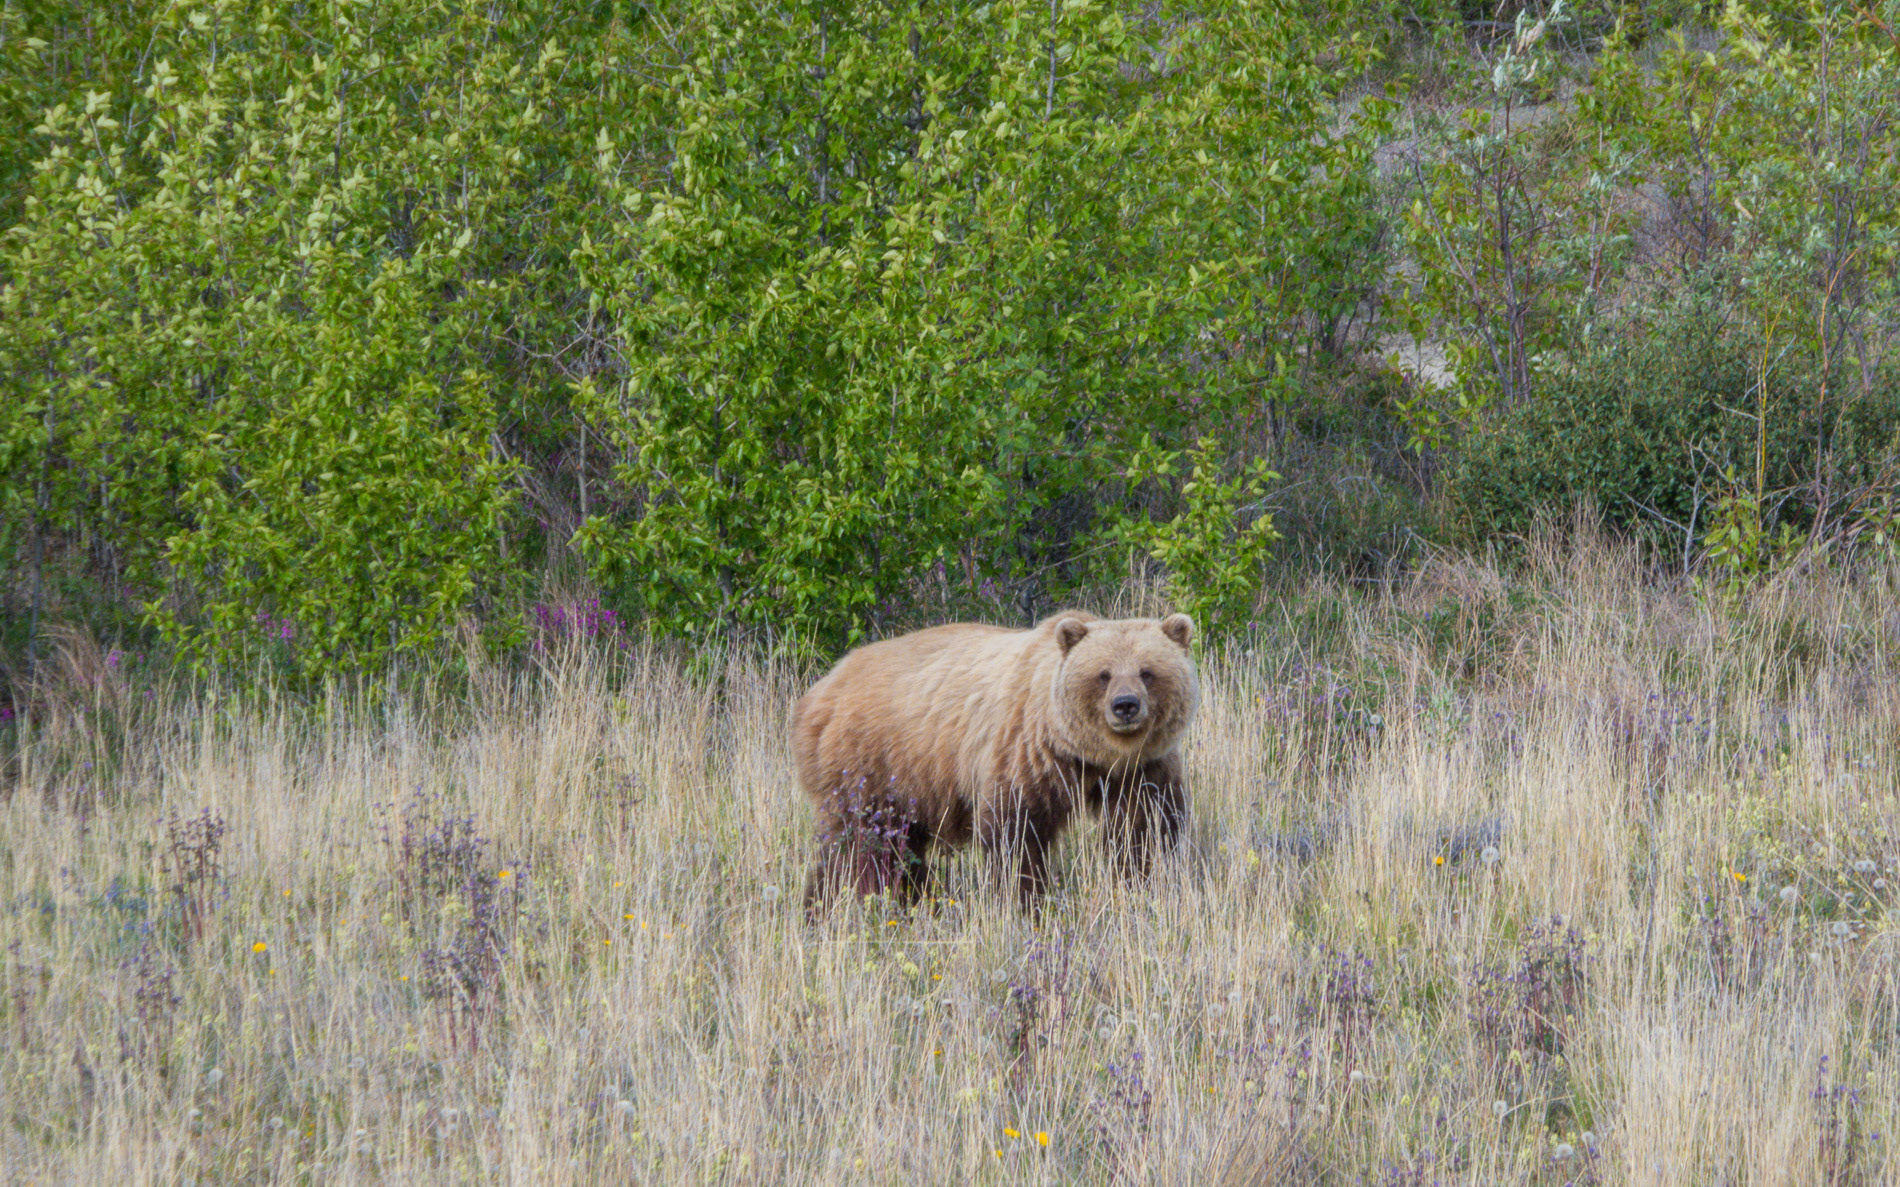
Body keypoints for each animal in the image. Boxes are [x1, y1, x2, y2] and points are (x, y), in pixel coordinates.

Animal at [793, 611, 1198, 912]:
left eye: (1147, 671)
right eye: (1104, 674)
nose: (1125, 705)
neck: (1090, 755)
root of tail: (819, 690)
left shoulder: (1143, 770)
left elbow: (1144, 829)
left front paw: (1144, 885)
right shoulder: (1026, 752)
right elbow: (1015, 834)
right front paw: (1024, 902)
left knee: (899, 847)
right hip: (869, 763)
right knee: (859, 848)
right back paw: (829, 907)